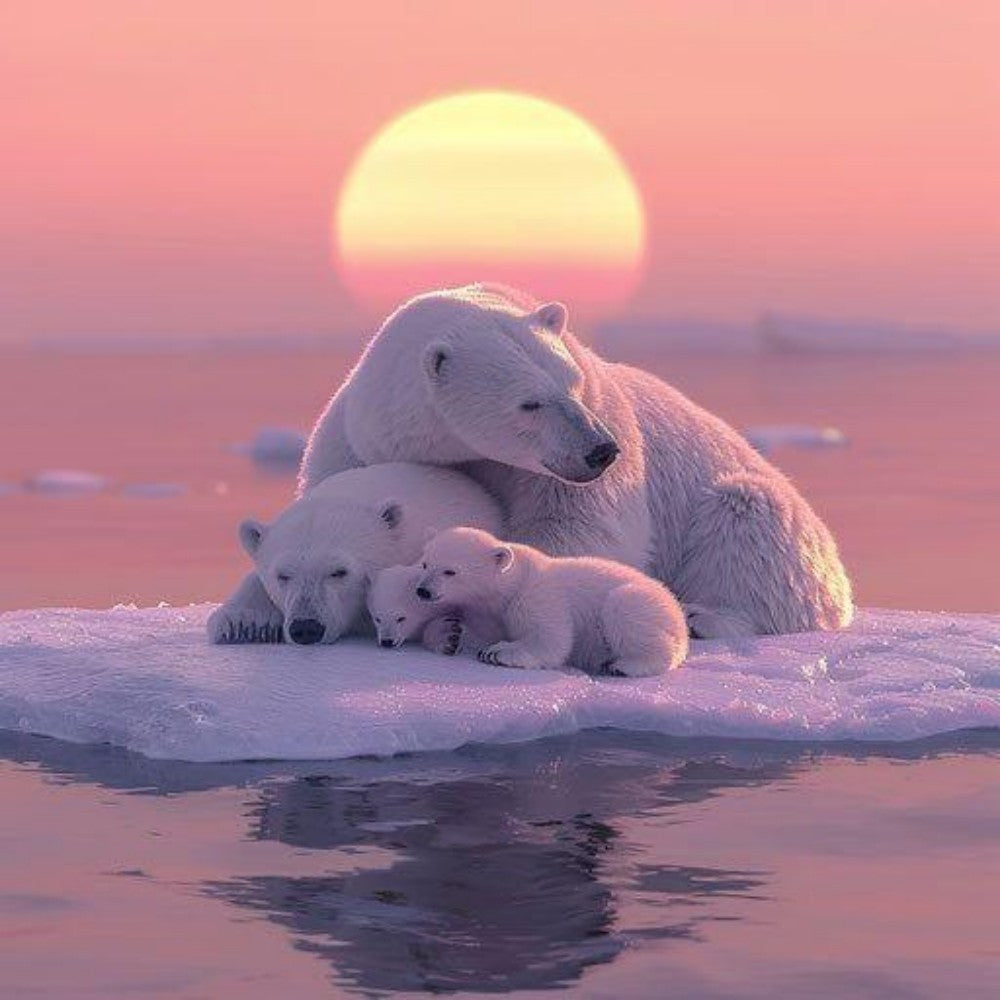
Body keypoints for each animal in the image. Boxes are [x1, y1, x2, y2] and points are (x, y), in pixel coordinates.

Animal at [414, 526, 689, 676]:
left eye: (450, 571)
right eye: (425, 563)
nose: (422, 591)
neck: (512, 583)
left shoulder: (537, 596)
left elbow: (549, 640)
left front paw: (498, 652)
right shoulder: (487, 612)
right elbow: (479, 631)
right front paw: (449, 635)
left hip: (644, 606)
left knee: (625, 610)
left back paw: (624, 665)